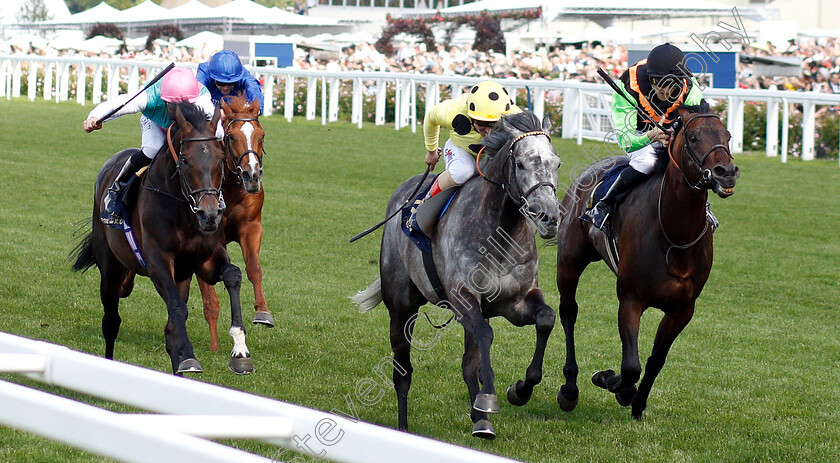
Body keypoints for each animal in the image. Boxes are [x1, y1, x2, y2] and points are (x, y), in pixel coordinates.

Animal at [70, 102, 254, 376]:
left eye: (220, 157)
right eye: (186, 160)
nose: (210, 214)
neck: (183, 210)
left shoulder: (206, 260)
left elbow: (233, 275)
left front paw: (240, 350)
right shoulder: (157, 262)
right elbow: (177, 307)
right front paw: (190, 357)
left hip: (180, 276)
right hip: (111, 269)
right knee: (111, 321)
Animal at [195, 94, 270, 352]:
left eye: (261, 135)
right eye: (231, 136)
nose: (252, 175)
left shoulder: (251, 226)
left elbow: (254, 267)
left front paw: (263, 312)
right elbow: (210, 300)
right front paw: (214, 346)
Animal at [352, 111, 560, 438]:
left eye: (557, 163)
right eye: (521, 163)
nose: (549, 217)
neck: (500, 231)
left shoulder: (515, 302)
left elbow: (546, 318)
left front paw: (519, 390)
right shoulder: (464, 299)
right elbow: (485, 337)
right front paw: (489, 399)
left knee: (468, 362)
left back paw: (481, 421)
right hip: (401, 308)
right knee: (402, 371)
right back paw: (403, 427)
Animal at [556, 102, 740, 420]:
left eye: (727, 135)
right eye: (693, 137)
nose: (726, 172)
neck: (674, 237)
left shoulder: (683, 309)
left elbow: (655, 360)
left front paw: (638, 403)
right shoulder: (630, 299)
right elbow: (631, 366)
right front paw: (610, 381)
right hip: (569, 262)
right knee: (569, 312)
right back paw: (569, 389)